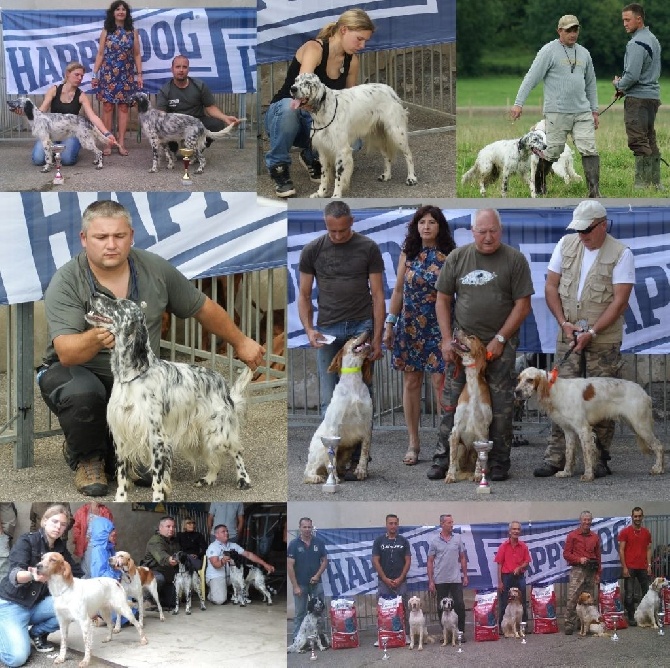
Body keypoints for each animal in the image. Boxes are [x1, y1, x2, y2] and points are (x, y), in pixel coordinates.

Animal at [84, 294, 252, 500]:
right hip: (202, 432)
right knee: (214, 458)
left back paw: (244, 479)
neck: (131, 377)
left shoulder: (157, 437)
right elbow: (122, 475)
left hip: (219, 432)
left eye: (119, 304)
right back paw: (209, 478)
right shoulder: (121, 434)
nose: (94, 294)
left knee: (237, 451)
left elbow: (157, 477)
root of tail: (223, 384)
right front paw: (120, 498)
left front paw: (158, 498)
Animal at [290, 74, 418, 198]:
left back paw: (411, 178)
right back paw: (386, 175)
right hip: (378, 135)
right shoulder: (323, 150)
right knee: (387, 156)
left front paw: (336, 195)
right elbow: (324, 175)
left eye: (307, 82)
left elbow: (338, 177)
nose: (293, 88)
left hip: (396, 132)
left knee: (409, 154)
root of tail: (390, 90)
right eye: (296, 80)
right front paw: (321, 192)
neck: (324, 112)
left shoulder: (341, 150)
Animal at [304, 332, 372, 482]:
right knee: (308, 472)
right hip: (319, 449)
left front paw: (361, 470)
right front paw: (334, 479)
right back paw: (317, 477)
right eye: (353, 337)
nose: (368, 331)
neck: (354, 383)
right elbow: (332, 459)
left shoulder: (366, 424)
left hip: (347, 450)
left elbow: (364, 451)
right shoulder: (335, 426)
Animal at [446, 332, 494, 480]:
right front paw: (450, 476)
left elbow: (480, 460)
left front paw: (478, 475)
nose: (456, 329)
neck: (473, 383)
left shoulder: (483, 431)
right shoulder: (455, 430)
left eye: (472, 337)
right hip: (462, 447)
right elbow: (452, 458)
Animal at [516, 368, 668, 482]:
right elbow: (569, 453)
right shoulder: (569, 431)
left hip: (640, 425)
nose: (516, 392)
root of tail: (644, 392)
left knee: (659, 446)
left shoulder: (583, 430)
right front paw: (566, 472)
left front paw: (588, 475)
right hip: (634, 424)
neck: (555, 390)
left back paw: (658, 469)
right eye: (519, 379)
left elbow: (587, 454)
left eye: (530, 380)